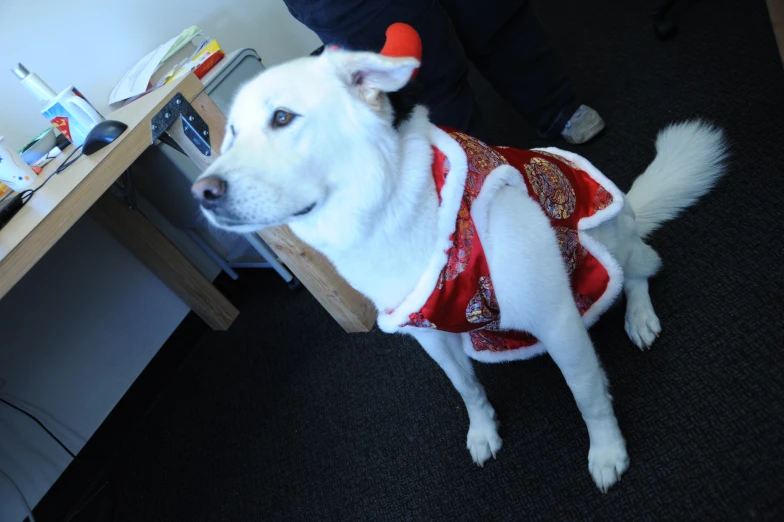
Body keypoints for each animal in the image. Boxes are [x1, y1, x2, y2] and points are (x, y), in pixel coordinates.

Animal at [191, 46, 728, 490]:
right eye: (230, 133)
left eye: (283, 118)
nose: (202, 193)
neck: (386, 219)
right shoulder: (430, 334)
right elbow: (466, 388)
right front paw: (484, 430)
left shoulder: (558, 321)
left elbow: (588, 396)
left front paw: (606, 451)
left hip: (609, 237)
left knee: (642, 266)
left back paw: (639, 315)